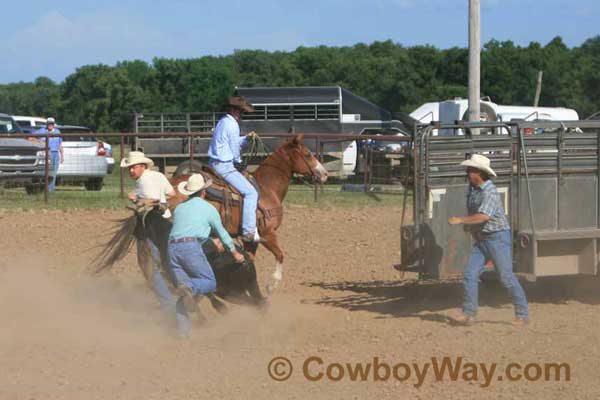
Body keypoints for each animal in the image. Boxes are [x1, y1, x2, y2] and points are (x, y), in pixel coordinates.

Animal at [94, 203, 268, 318]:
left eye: (138, 222)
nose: (134, 233)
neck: (165, 235)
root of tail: (243, 260)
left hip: (229, 290)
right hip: (244, 288)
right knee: (259, 303)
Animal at [170, 134, 328, 290]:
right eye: (307, 154)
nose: (325, 174)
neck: (267, 188)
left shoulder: (252, 240)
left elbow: (250, 259)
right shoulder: (267, 234)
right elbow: (280, 255)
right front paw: (272, 284)